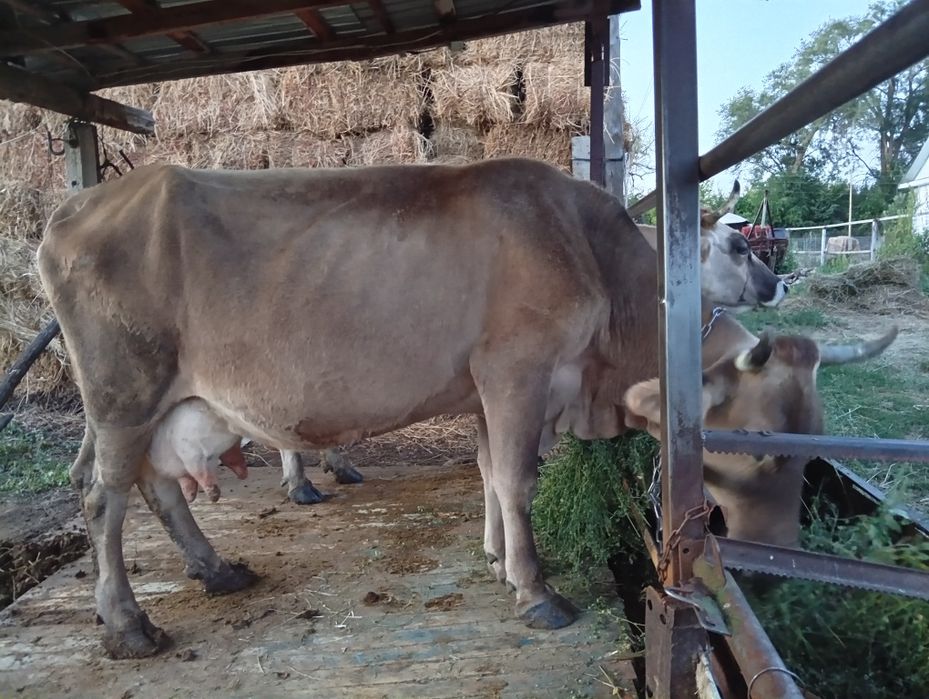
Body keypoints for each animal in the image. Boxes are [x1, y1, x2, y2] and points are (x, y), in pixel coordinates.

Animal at [37, 158, 787, 658]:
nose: (777, 284)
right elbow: (517, 479)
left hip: (152, 404)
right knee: (103, 498)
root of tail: (78, 206)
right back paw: (129, 623)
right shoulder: (517, 369)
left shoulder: (485, 385)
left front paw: (496, 558)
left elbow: (489, 473)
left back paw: (216, 569)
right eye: (736, 245)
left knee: (149, 486)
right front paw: (535, 589)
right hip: (123, 391)